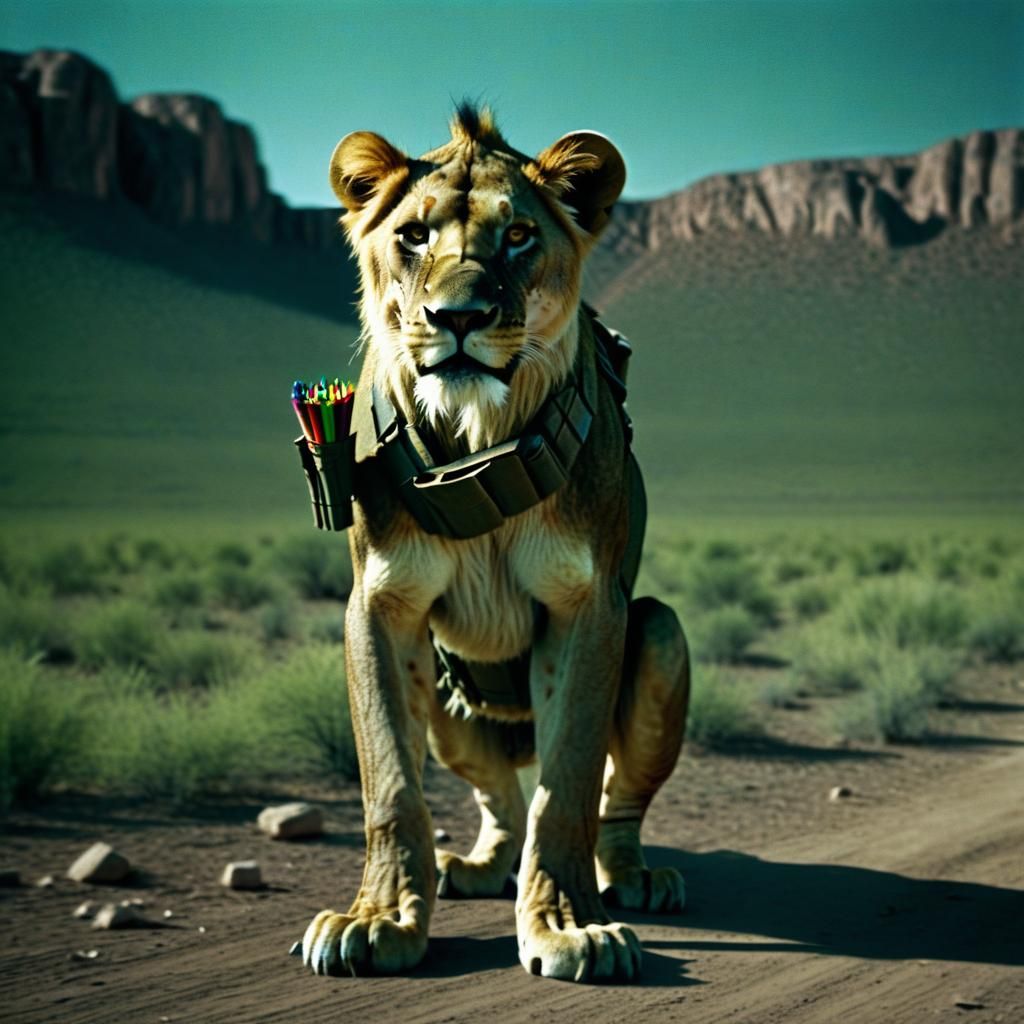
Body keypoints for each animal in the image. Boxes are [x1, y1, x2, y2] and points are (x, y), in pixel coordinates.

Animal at [299, 105, 691, 983]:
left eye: (516, 236)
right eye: (413, 235)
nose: (458, 317)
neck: (479, 431)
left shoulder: (590, 607)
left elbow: (569, 786)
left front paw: (570, 926)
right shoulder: (379, 607)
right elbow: (391, 785)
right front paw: (378, 918)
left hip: (659, 636)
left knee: (615, 804)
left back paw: (636, 877)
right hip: (450, 701)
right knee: (500, 799)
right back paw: (477, 867)